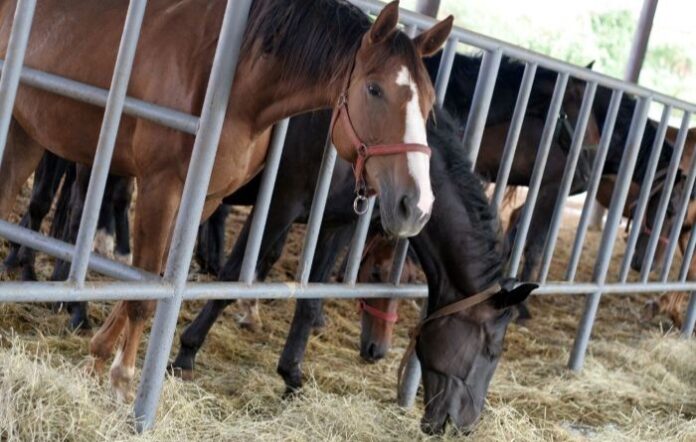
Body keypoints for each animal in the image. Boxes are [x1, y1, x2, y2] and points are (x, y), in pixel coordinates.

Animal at [0, 0, 453, 399]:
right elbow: (146, 291)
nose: (416, 205)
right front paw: (122, 378)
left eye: (430, 103)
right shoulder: (162, 187)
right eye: (374, 89)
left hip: (26, 133)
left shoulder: (205, 198)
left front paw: (99, 357)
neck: (230, 83)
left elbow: (156, 278)